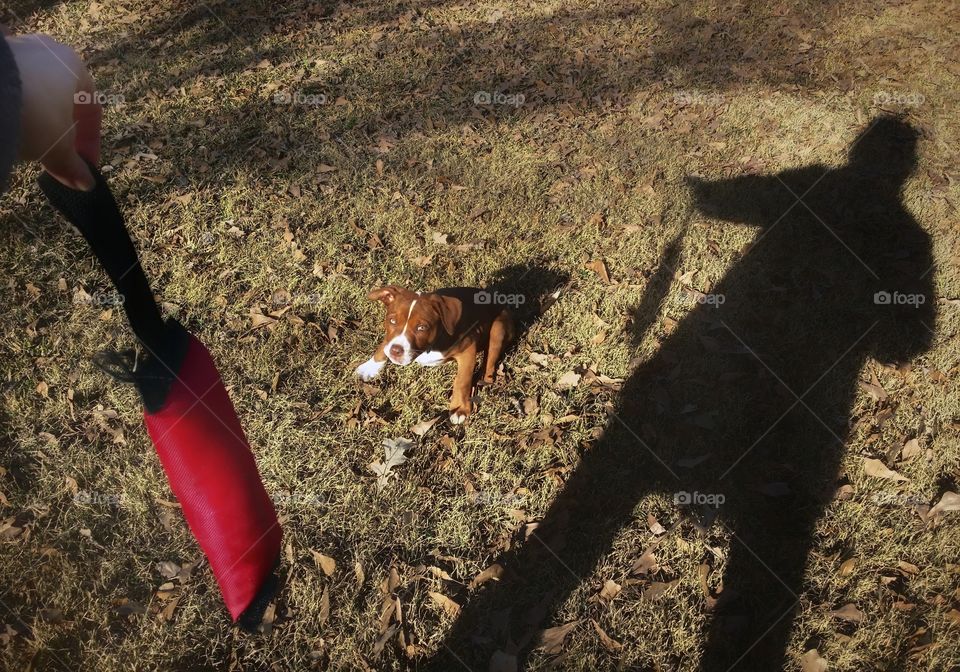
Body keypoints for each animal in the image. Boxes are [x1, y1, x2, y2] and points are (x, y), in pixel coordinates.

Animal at [356, 284, 512, 422]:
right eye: (392, 321)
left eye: (422, 328)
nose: (396, 350)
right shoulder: (390, 337)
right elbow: (384, 344)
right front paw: (370, 367)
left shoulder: (468, 348)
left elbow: (462, 380)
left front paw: (459, 408)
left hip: (498, 329)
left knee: (490, 360)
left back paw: (484, 379)